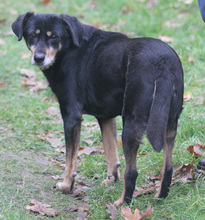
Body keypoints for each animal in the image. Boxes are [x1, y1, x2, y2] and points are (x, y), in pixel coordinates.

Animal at [12, 12, 183, 208]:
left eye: (54, 37)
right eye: (32, 35)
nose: (39, 58)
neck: (68, 48)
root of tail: (163, 62)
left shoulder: (71, 116)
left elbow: (70, 160)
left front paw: (66, 185)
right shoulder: (106, 117)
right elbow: (111, 153)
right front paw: (110, 181)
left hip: (131, 123)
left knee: (132, 172)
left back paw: (121, 204)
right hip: (169, 122)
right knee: (168, 166)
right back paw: (160, 197)